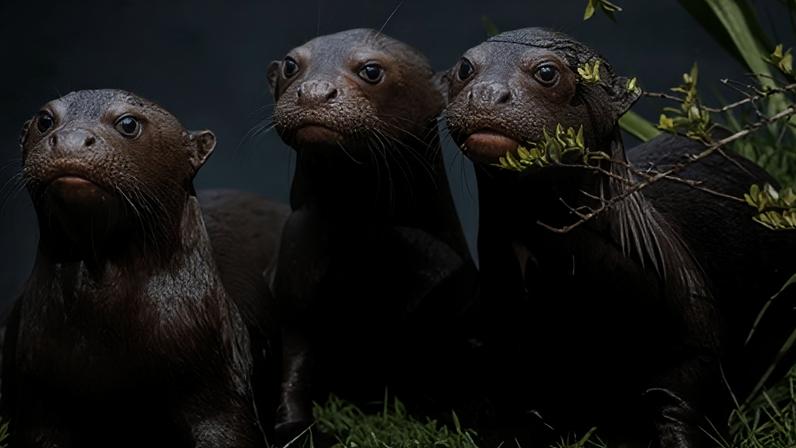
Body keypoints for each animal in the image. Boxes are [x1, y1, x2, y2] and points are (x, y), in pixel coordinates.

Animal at [266, 28, 478, 440]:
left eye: (370, 70)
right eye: (291, 65)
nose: (314, 91)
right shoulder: (294, 269)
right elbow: (295, 358)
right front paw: (296, 426)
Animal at [440, 28, 796, 447]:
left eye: (546, 72)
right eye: (465, 67)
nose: (487, 93)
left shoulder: (695, 347)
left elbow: (682, 404)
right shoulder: (504, 350)